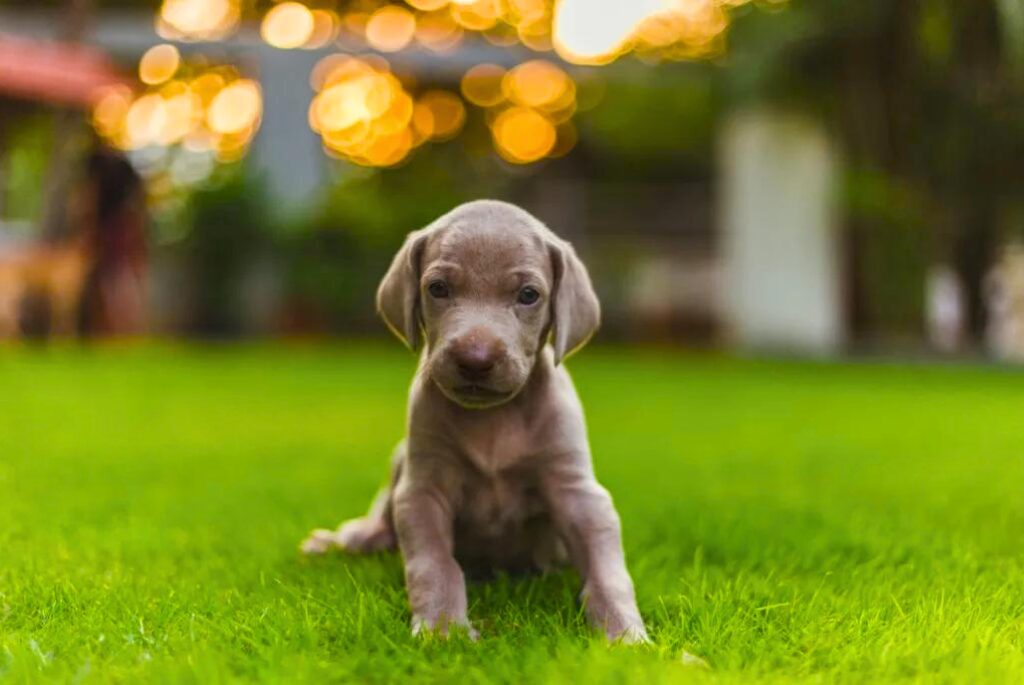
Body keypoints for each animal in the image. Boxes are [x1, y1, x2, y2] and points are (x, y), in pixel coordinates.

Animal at [299, 197, 643, 643]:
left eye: (529, 295)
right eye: (438, 288)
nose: (475, 360)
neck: (493, 420)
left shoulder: (578, 493)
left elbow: (608, 574)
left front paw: (626, 636)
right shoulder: (423, 491)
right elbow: (434, 565)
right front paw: (443, 630)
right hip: (400, 457)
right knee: (381, 517)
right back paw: (344, 539)